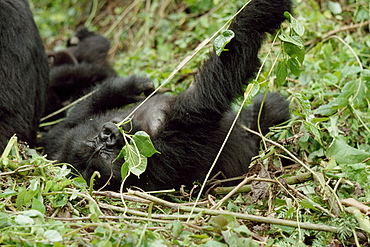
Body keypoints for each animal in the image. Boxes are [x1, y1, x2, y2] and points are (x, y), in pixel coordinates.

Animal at [43, 0, 292, 191]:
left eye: (97, 140)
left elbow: (74, 115)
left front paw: (128, 86)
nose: (109, 134)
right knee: (268, 109)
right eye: (106, 153)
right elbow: (210, 90)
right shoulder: (170, 148)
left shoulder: (60, 137)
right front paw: (260, 10)